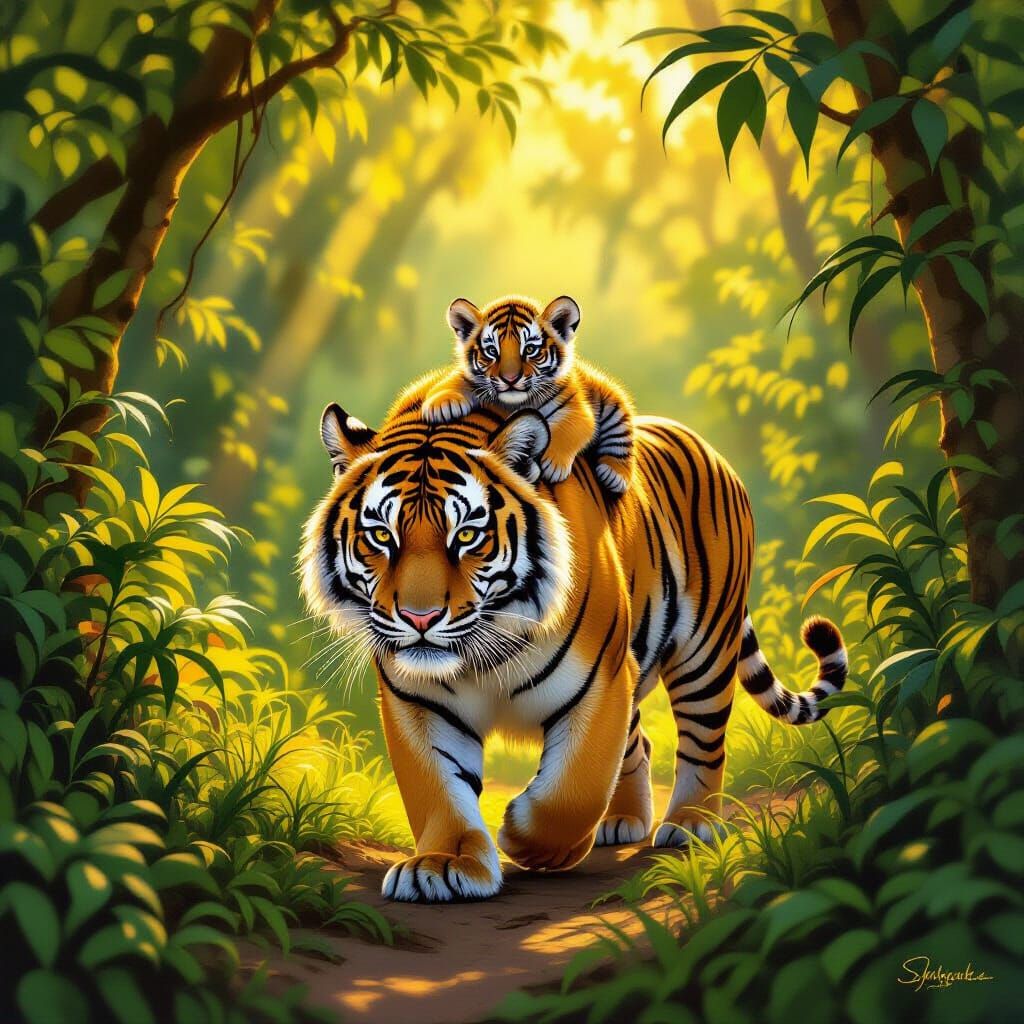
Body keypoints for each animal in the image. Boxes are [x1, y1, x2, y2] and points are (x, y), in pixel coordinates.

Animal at [300, 388, 848, 903]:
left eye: (469, 535)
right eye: (380, 535)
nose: (420, 618)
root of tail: (706, 445)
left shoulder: (600, 682)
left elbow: (573, 788)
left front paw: (529, 842)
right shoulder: (418, 701)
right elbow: (436, 787)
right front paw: (444, 865)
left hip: (705, 651)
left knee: (704, 741)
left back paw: (690, 826)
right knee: (640, 743)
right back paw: (622, 821)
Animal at [420, 295, 636, 498]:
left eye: (530, 350)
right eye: (492, 351)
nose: (510, 379)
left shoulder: (576, 408)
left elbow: (570, 427)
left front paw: (553, 464)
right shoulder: (470, 379)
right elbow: (453, 381)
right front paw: (441, 404)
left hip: (613, 405)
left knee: (620, 438)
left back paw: (614, 474)